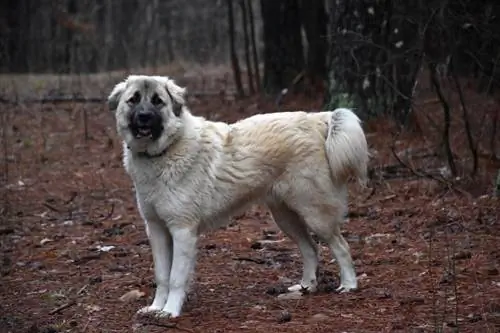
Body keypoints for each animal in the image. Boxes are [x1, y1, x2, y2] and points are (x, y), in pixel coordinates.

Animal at [107, 74, 370, 316]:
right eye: (134, 100)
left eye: (158, 101)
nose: (144, 116)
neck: (165, 151)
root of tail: (317, 119)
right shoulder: (157, 230)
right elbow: (162, 275)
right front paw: (155, 307)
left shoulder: (182, 231)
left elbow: (175, 278)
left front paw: (170, 311)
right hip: (285, 217)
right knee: (310, 249)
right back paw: (306, 286)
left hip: (316, 215)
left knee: (341, 246)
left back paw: (349, 285)